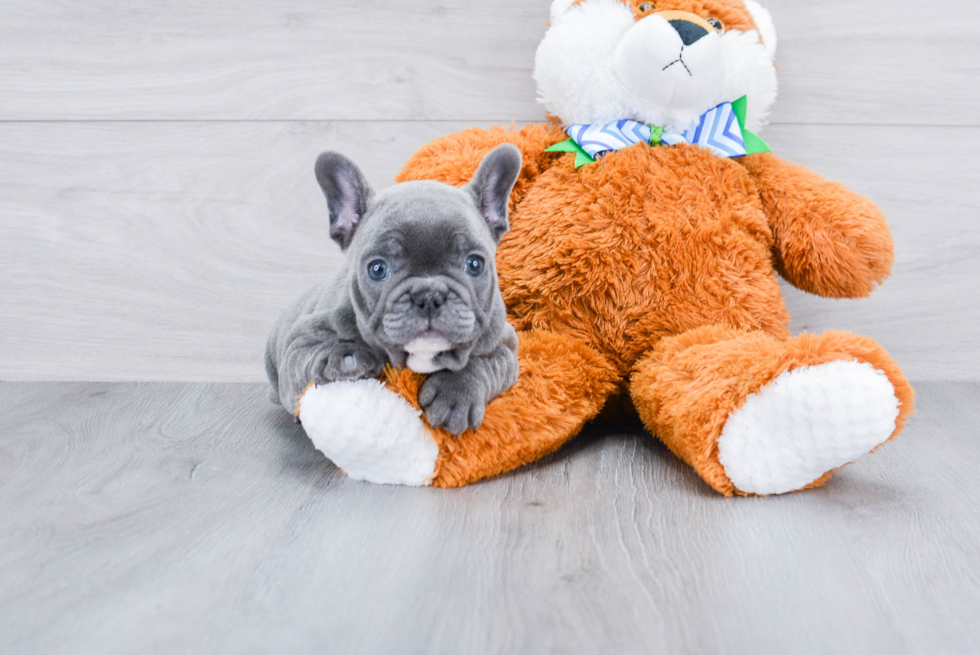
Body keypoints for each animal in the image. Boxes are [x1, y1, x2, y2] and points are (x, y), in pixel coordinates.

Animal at [260, 146, 520, 438]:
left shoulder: (504, 345)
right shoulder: (299, 340)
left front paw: (456, 394)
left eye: (475, 264)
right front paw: (345, 355)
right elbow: (311, 351)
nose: (429, 295)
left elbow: (482, 364)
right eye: (377, 269)